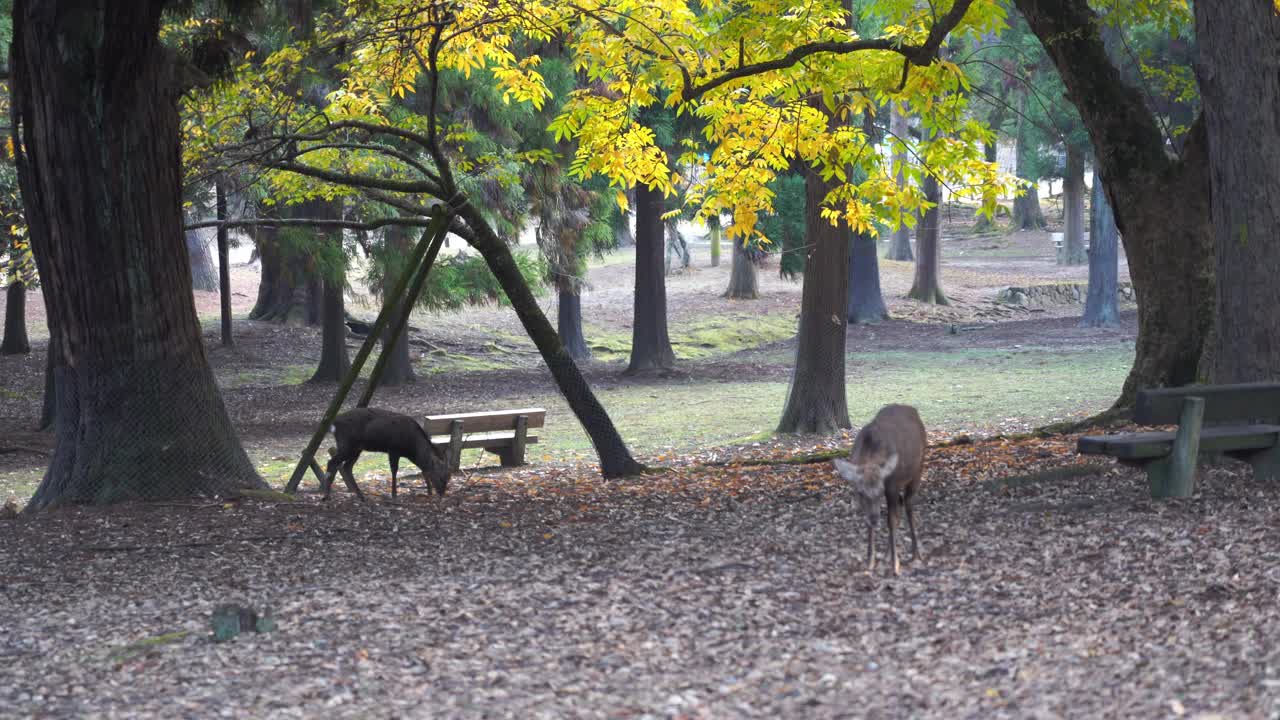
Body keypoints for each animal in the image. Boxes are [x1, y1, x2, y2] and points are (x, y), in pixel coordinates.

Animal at [322, 407, 453, 502]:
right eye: (440, 477)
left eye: (448, 477)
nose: (442, 492)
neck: (411, 447)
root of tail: (335, 424)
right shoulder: (393, 450)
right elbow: (394, 471)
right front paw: (394, 494)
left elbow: (423, 469)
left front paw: (429, 492)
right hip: (347, 444)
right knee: (332, 462)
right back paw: (326, 496)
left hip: (356, 448)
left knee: (347, 467)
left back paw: (361, 496)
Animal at [829, 404, 931, 571]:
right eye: (860, 492)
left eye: (880, 490)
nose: (874, 518)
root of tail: (913, 410)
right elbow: (873, 522)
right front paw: (870, 560)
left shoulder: (891, 487)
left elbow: (891, 521)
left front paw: (895, 565)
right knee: (901, 508)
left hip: (918, 469)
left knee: (908, 506)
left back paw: (916, 553)